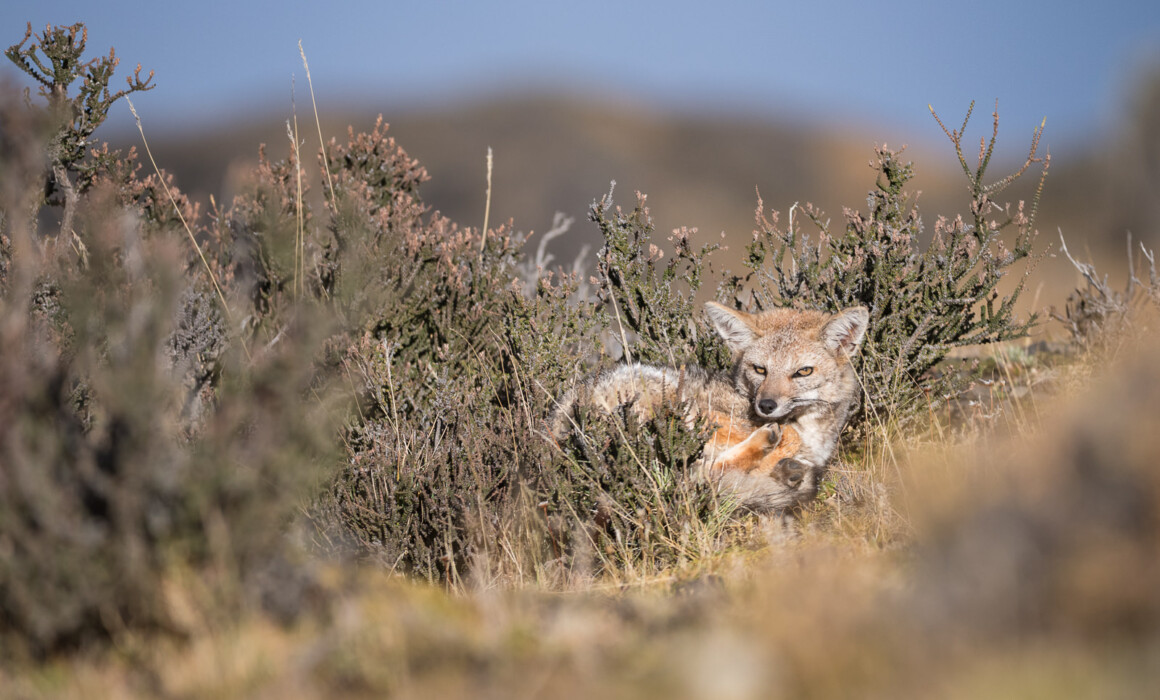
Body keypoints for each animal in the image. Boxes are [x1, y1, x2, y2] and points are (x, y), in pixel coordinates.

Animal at [550, 302, 869, 512]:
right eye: (760, 370)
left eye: (803, 372)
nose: (766, 405)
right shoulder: (716, 418)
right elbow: (789, 438)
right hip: (680, 408)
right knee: (704, 475)